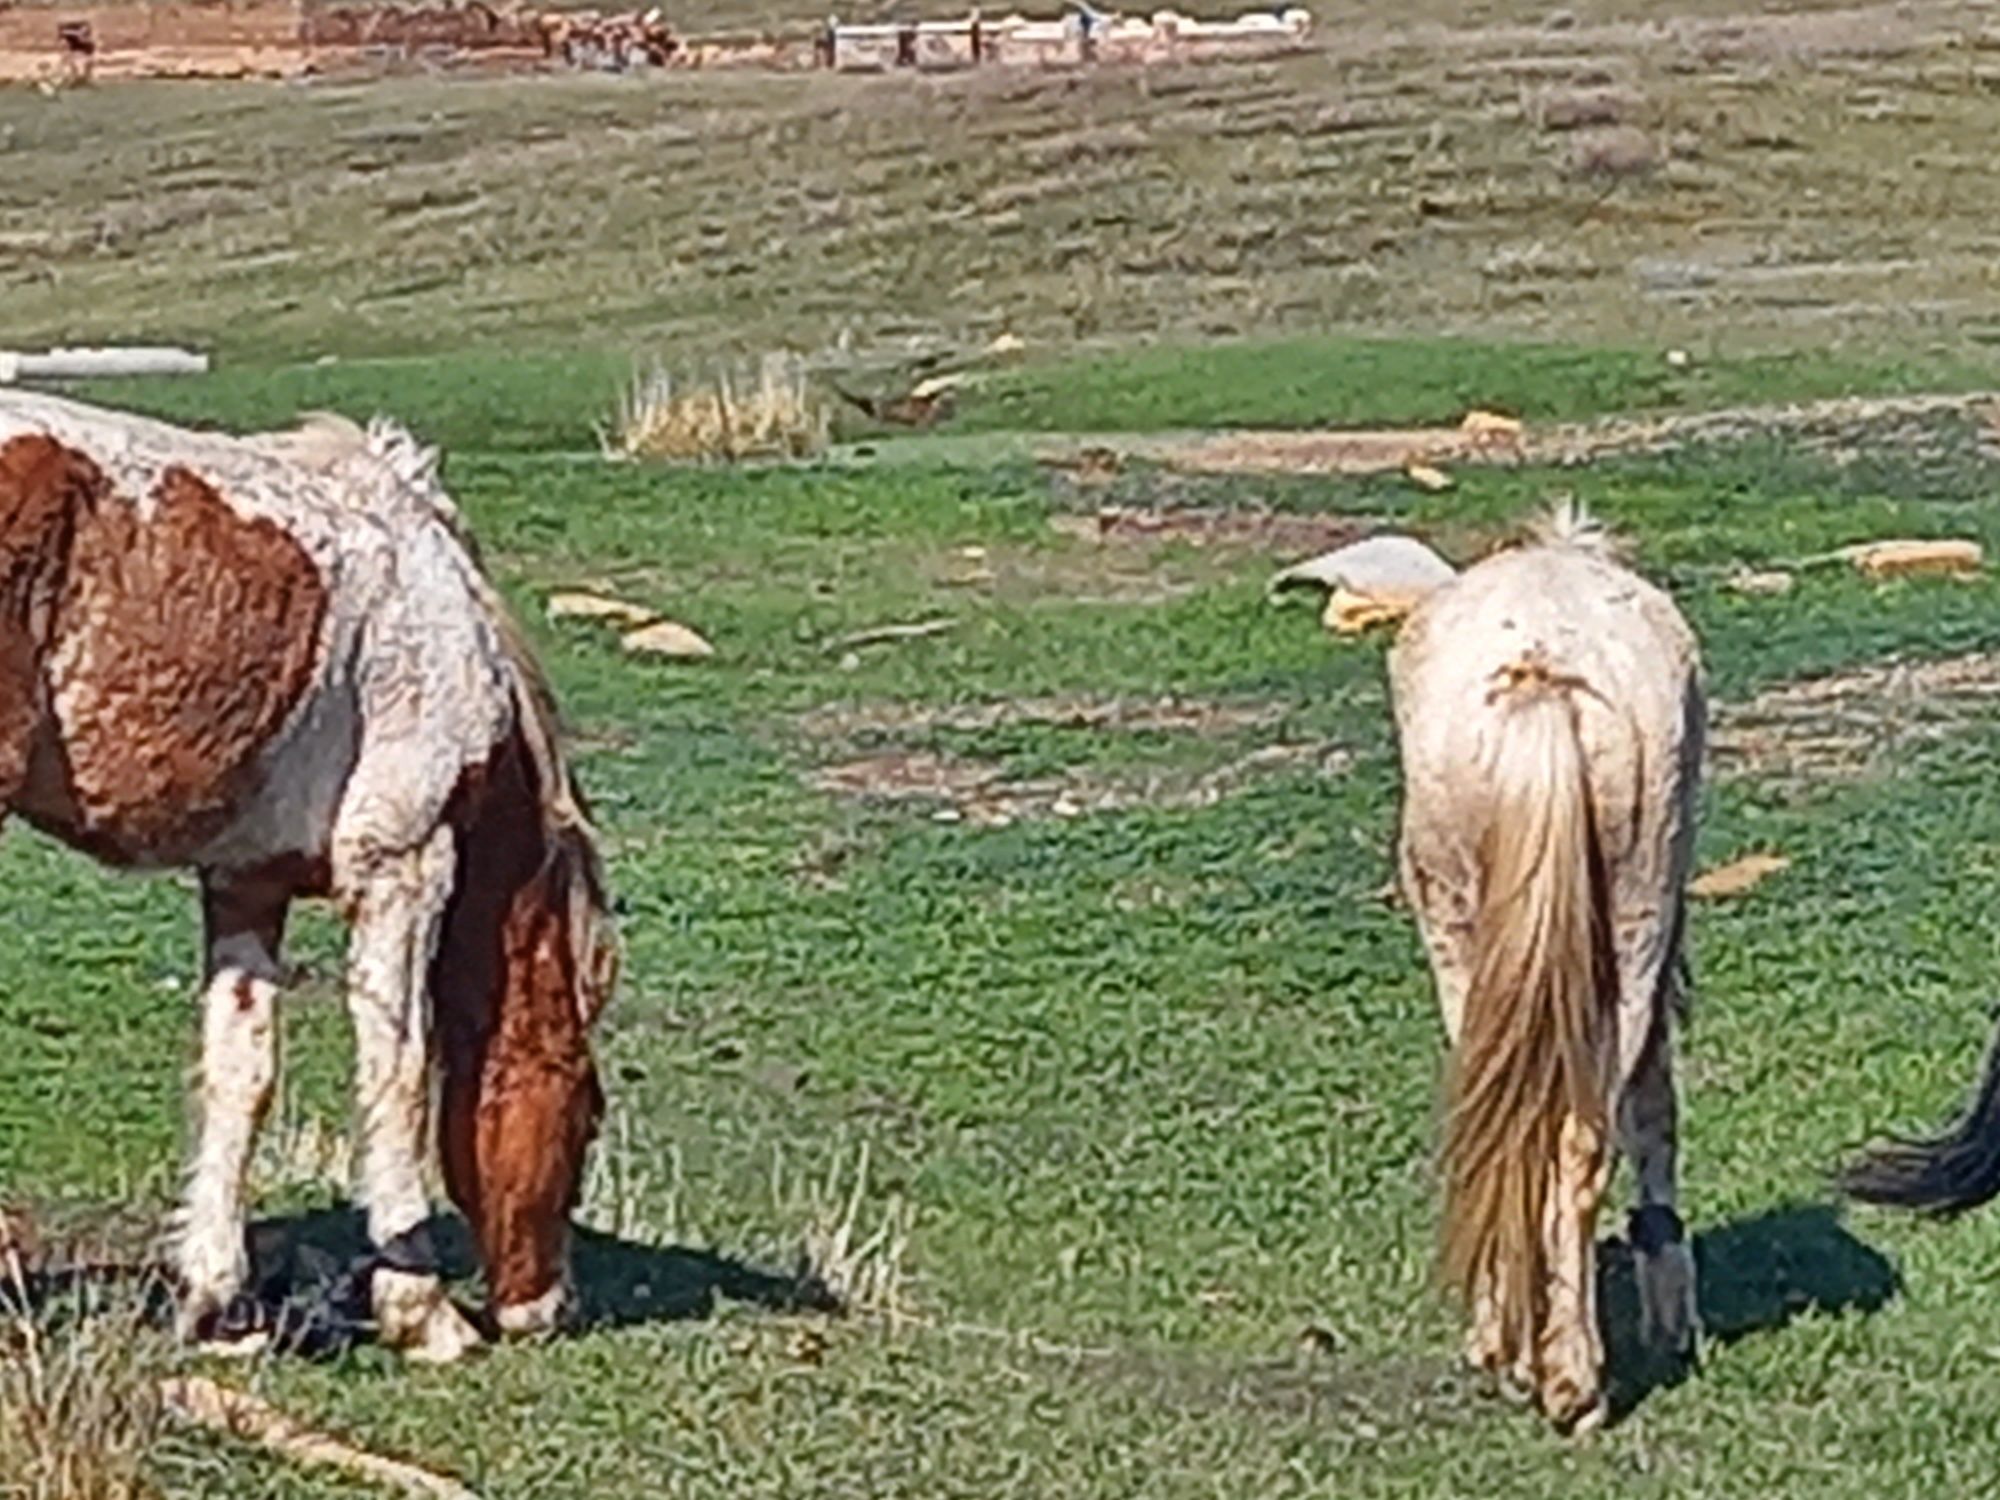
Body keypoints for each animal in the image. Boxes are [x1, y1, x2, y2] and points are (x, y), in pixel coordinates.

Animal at [0, 394, 616, 1368]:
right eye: (587, 1120)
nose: (548, 1308)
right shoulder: (404, 868)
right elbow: (398, 1070)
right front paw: (421, 1312)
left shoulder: (246, 883)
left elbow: (240, 1073)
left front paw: (218, 1303)